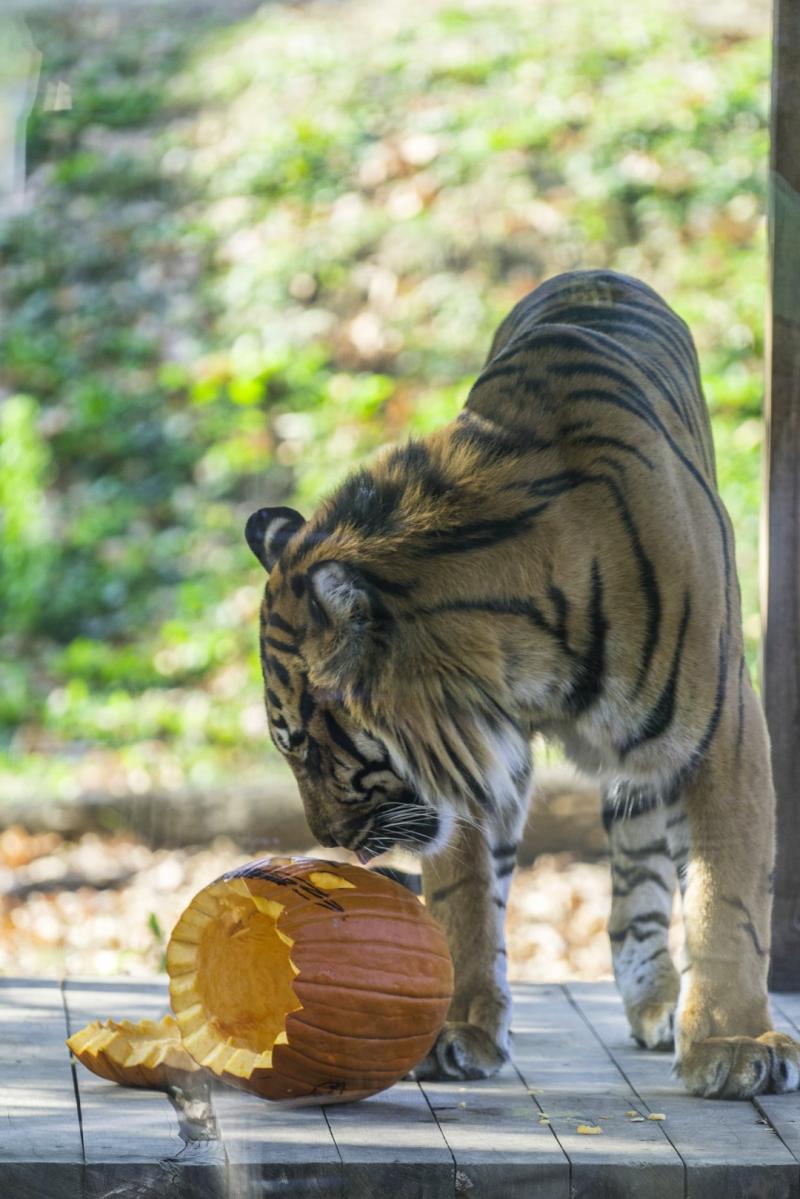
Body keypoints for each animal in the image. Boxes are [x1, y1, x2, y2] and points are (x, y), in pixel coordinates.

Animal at [244, 269, 800, 1098]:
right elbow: (464, 891)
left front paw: (734, 1044)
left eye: (303, 746)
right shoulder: (476, 754)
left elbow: (727, 892)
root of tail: (596, 272)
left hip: (653, 758)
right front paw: (456, 1030)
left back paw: (664, 1007)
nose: (329, 840)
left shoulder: (724, 729)